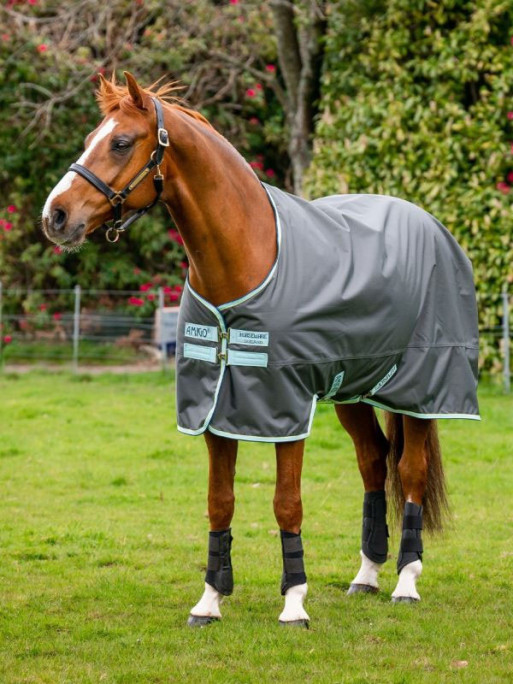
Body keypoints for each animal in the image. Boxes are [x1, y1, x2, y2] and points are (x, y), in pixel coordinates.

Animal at [42, 72, 480, 628]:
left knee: (410, 471)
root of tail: (429, 223)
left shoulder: (285, 409)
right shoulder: (213, 409)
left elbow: (286, 503)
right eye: (89, 140)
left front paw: (294, 603)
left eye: (121, 142)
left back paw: (406, 581)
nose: (55, 216)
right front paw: (210, 599)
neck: (246, 257)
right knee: (373, 462)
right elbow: (220, 501)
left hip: (421, 392)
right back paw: (366, 576)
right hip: (352, 392)